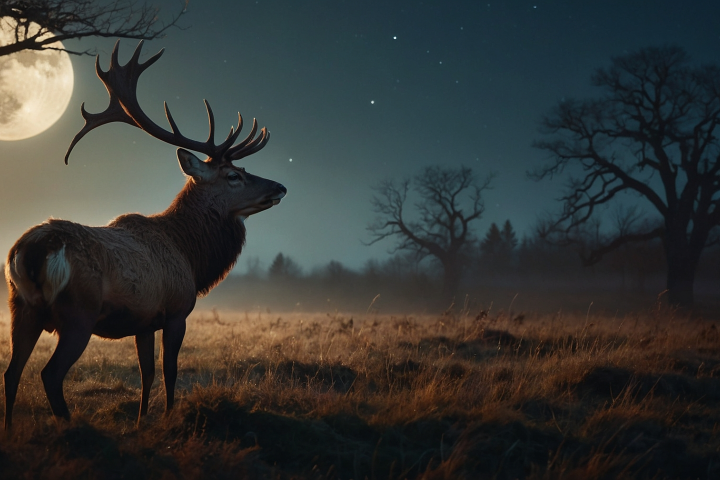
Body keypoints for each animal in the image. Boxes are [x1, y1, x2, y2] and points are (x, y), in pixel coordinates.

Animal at [3, 41, 287, 429]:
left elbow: (146, 373)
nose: (280, 187)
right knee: (49, 374)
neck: (191, 256)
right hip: (78, 313)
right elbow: (170, 371)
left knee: (11, 372)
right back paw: (72, 426)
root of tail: (31, 251)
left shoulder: (144, 321)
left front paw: (140, 422)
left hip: (20, 306)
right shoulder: (177, 310)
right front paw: (168, 418)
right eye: (234, 176)